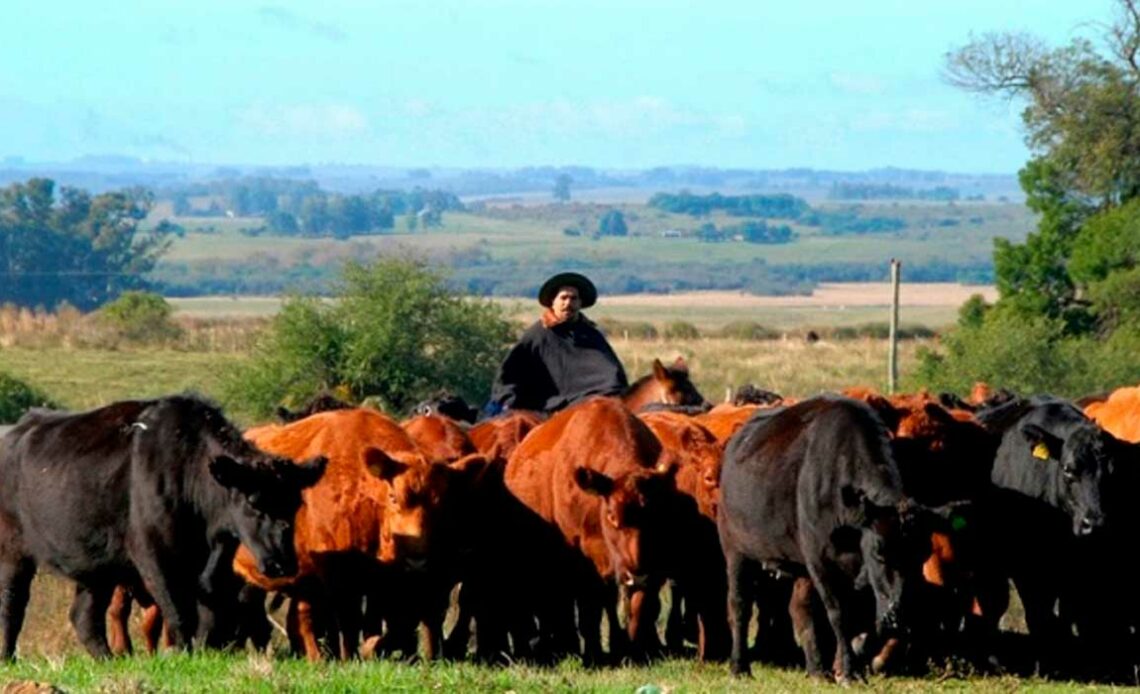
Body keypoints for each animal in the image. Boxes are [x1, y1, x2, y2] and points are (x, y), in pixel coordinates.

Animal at [0, 394, 326, 656]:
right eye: (253, 501)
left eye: (295, 504)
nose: (281, 563)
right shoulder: (154, 555)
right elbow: (179, 610)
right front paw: (182, 654)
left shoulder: (215, 562)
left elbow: (211, 611)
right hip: (12, 554)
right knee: (12, 605)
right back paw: (8, 657)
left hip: (96, 567)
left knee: (84, 617)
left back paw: (111, 659)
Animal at [720, 394, 916, 683]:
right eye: (879, 552)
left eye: (916, 555)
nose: (897, 616)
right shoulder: (820, 561)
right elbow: (838, 614)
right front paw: (848, 670)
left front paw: (845, 666)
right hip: (736, 551)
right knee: (739, 605)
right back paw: (739, 666)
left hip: (797, 566)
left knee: (800, 610)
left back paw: (816, 670)